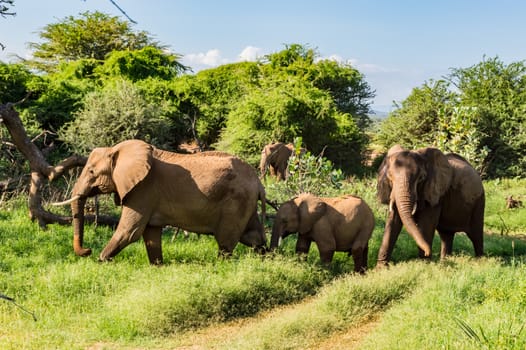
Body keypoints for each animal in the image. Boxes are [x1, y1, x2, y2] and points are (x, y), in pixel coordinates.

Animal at [54, 138, 268, 264]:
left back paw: (221, 264)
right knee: (253, 235)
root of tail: (258, 182)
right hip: (245, 201)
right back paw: (266, 258)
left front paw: (102, 261)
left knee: (226, 240)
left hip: (235, 200)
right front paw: (157, 266)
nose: (87, 250)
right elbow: (150, 233)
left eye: (91, 171)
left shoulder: (143, 189)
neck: (117, 150)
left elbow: (130, 231)